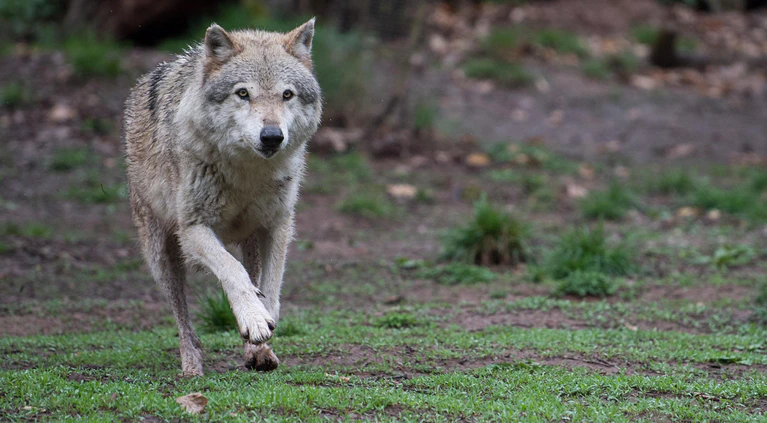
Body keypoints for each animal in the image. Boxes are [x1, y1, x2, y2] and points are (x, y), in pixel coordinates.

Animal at [123, 19, 322, 376]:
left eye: (287, 95)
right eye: (243, 93)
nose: (272, 136)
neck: (247, 172)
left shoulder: (277, 226)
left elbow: (271, 288)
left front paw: (261, 329)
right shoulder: (192, 229)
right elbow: (232, 271)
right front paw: (253, 319)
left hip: (250, 240)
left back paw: (257, 353)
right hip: (161, 256)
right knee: (183, 320)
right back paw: (191, 365)